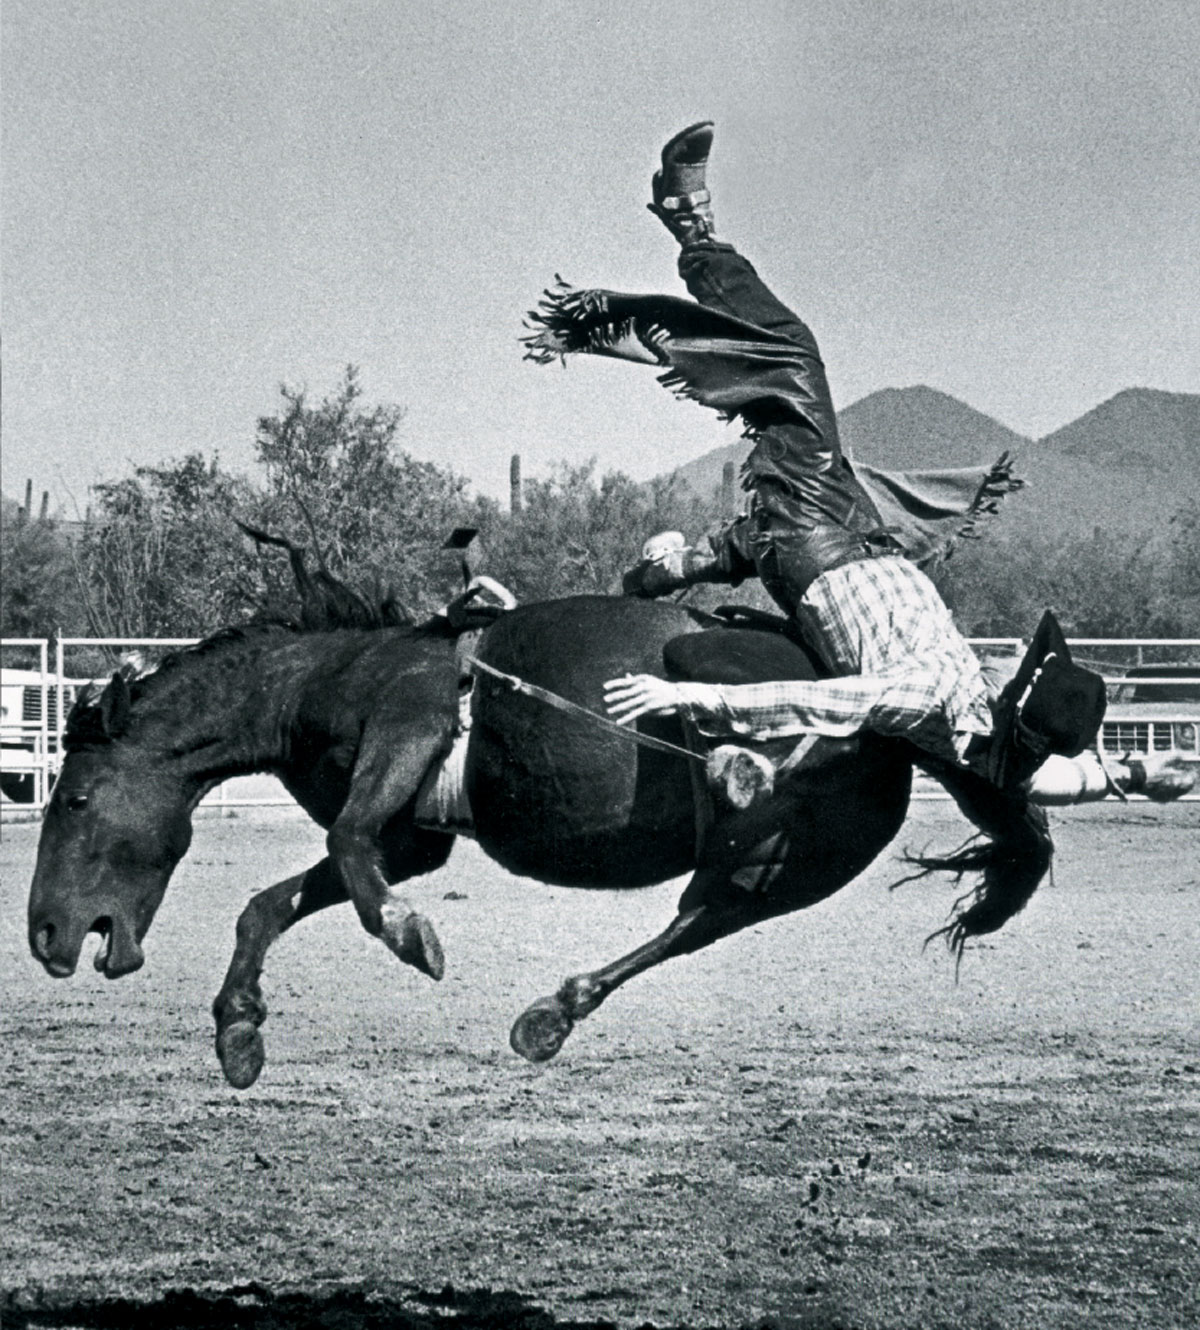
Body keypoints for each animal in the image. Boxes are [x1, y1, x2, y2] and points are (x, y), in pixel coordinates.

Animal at [23, 545, 1048, 1085]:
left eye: (74, 797)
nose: (44, 937)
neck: (329, 672)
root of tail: (912, 725)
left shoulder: (413, 721)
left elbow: (349, 853)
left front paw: (411, 936)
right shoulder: (413, 837)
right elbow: (271, 903)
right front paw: (239, 1031)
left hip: (770, 818)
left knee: (696, 911)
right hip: (779, 868)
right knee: (697, 919)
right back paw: (556, 1011)